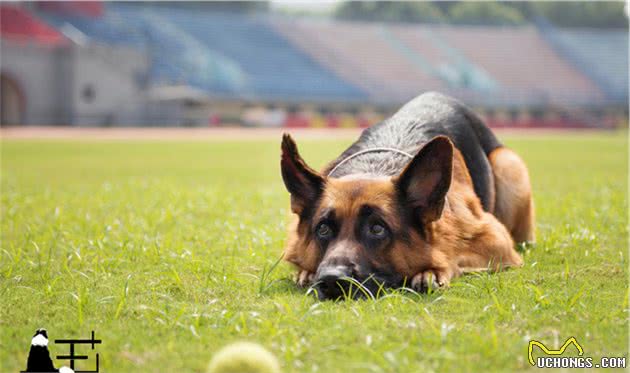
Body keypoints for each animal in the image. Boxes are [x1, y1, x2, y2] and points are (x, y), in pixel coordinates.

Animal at [282, 92, 532, 300]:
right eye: (323, 229)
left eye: (377, 229)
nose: (332, 280)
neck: (375, 167)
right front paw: (306, 272)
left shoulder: (496, 240)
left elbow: (452, 254)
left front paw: (432, 270)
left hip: (508, 165)